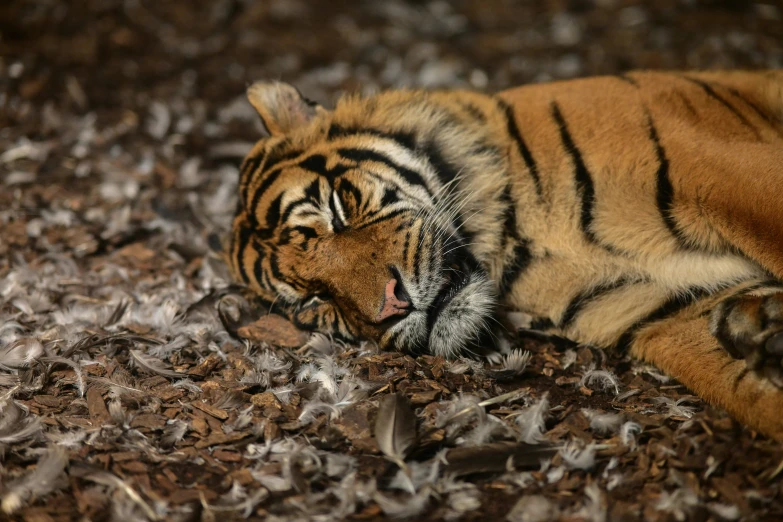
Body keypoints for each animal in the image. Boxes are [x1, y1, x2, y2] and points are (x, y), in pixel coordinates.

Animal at [227, 70, 783, 438]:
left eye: (337, 210)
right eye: (314, 299)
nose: (391, 307)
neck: (520, 241)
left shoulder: (715, 168)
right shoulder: (665, 311)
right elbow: (749, 394)